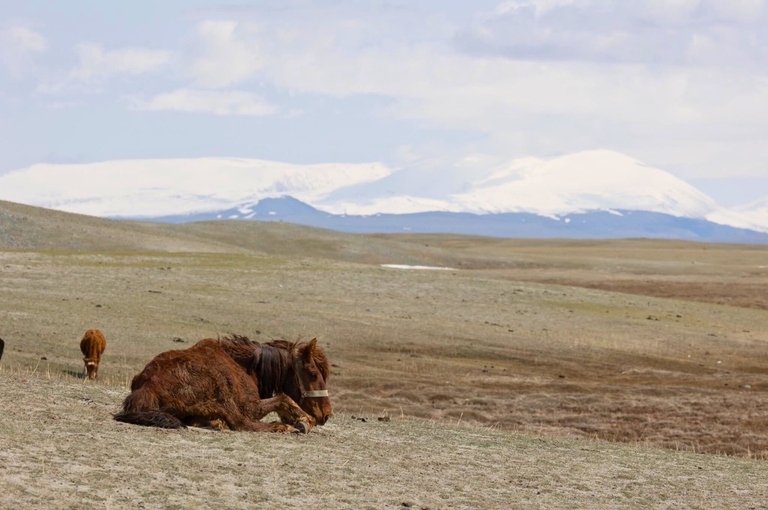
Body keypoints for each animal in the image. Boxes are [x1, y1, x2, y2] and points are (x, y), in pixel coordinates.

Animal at [113, 334, 330, 434]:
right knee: (242, 424)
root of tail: (147, 386)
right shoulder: (251, 407)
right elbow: (283, 398)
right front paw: (303, 421)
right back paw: (281, 427)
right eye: (313, 374)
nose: (326, 414)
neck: (246, 367)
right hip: (223, 397)